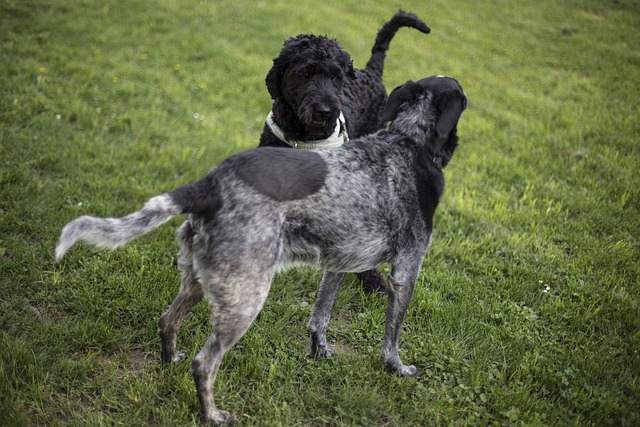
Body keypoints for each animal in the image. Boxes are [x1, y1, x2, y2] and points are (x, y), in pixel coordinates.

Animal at [56, 76, 464, 424]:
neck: (410, 143)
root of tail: (208, 185)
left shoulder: (339, 263)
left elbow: (320, 318)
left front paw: (319, 354)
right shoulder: (406, 271)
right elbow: (391, 339)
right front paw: (398, 370)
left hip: (201, 280)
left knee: (167, 321)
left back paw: (170, 361)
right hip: (246, 297)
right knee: (204, 363)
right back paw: (212, 415)